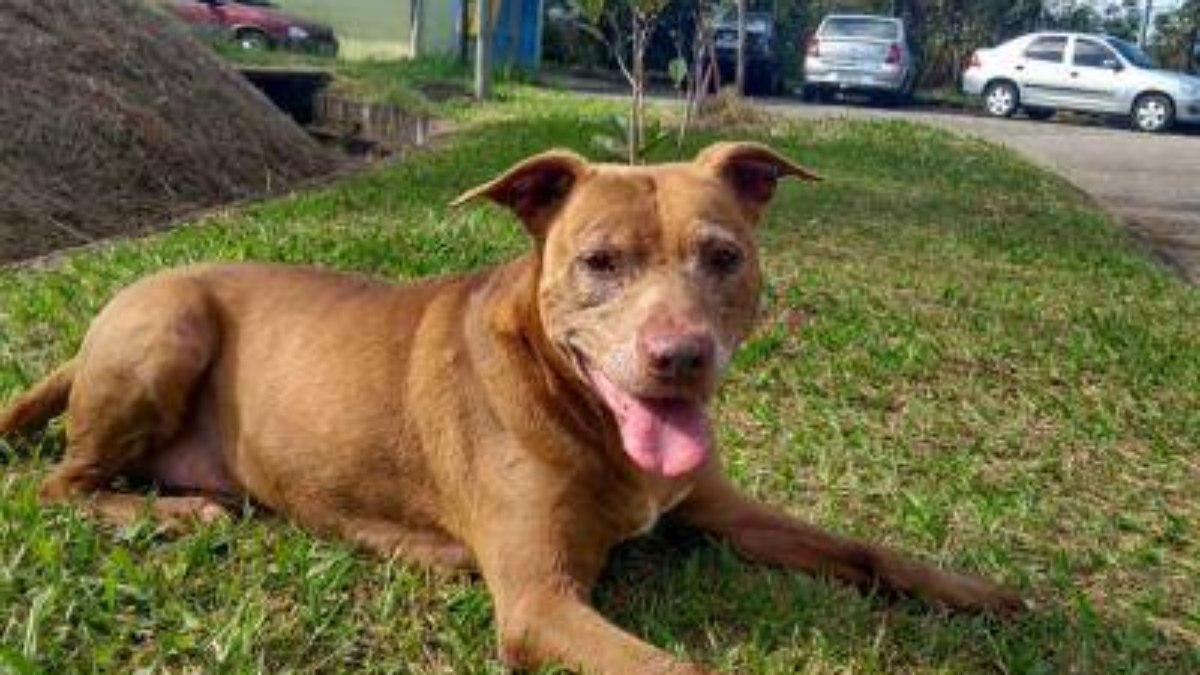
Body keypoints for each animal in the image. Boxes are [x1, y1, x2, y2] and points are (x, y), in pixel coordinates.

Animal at [0, 140, 1022, 667]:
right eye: (600, 261)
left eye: (724, 256)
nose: (680, 357)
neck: (578, 404)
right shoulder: (538, 601)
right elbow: (673, 664)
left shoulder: (720, 508)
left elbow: (865, 548)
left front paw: (973, 589)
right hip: (168, 327)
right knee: (59, 484)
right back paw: (175, 513)